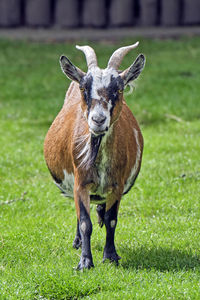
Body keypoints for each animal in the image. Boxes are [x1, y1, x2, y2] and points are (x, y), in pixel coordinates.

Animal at [43, 43, 145, 270]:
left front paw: (111, 256)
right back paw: (78, 242)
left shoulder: (117, 185)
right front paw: (85, 262)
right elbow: (84, 222)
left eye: (119, 89)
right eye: (84, 89)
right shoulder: (80, 183)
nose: (98, 120)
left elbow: (111, 220)